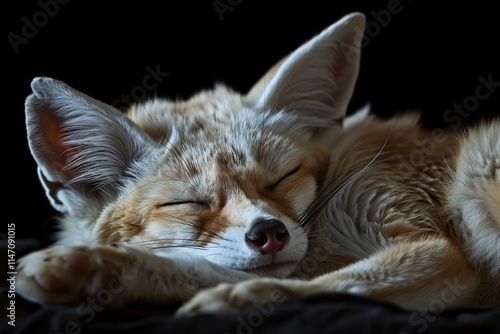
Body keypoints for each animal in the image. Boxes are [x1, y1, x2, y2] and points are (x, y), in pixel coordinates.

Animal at [15, 11, 500, 314]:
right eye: (187, 203)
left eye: (281, 178)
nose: (268, 233)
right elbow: (205, 267)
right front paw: (100, 270)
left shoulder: (433, 250)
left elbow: (322, 284)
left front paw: (239, 299)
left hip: (481, 166)